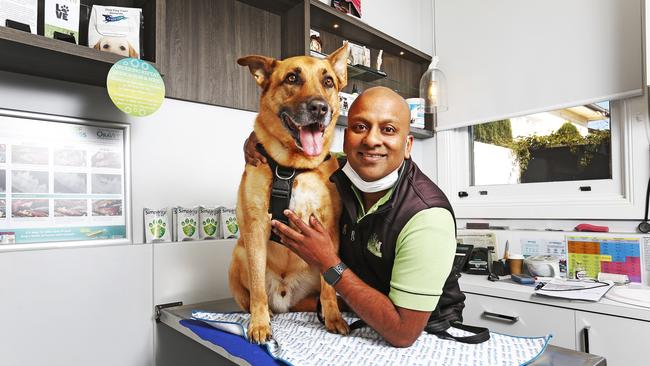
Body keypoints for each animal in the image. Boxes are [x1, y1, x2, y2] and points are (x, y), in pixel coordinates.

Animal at [229, 43, 350, 344]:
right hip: (238, 255)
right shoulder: (256, 228)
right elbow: (257, 289)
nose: (319, 108)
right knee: (252, 295)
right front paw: (259, 324)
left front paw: (333, 318)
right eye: (292, 78)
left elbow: (330, 286)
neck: (294, 168)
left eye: (328, 81)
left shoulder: (328, 230)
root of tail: (285, 297)